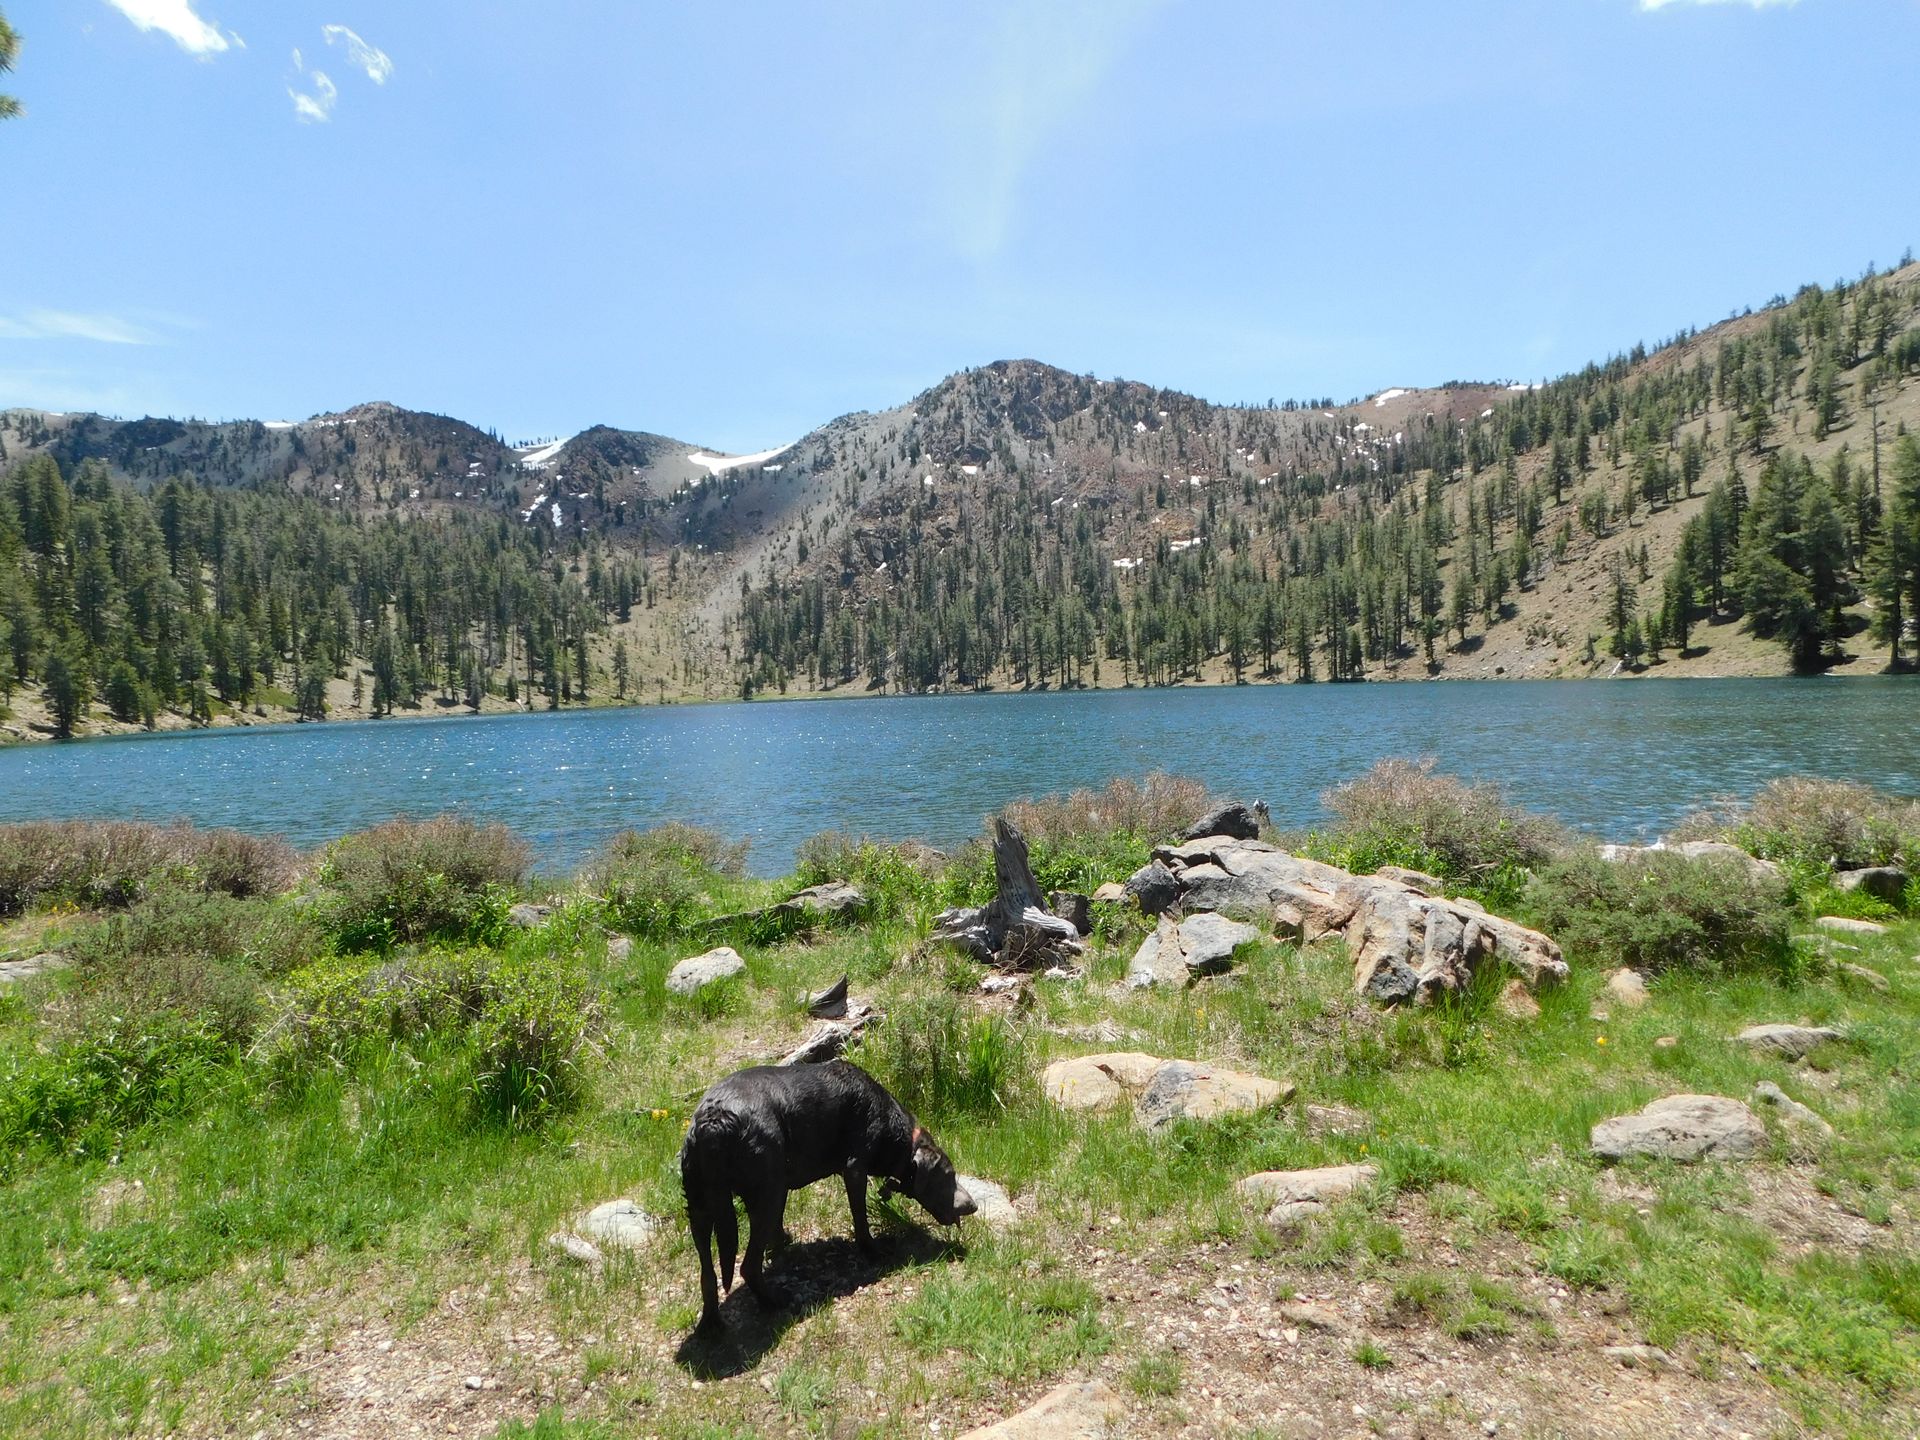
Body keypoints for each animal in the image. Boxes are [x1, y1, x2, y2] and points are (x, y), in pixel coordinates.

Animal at [683, 1052, 975, 1336]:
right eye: (949, 1175)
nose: (972, 1206)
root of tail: (713, 1123)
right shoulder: (854, 1168)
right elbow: (860, 1218)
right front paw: (873, 1249)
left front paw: (781, 1244)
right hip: (764, 1194)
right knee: (748, 1267)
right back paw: (775, 1301)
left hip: (700, 1207)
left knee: (708, 1275)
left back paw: (711, 1323)